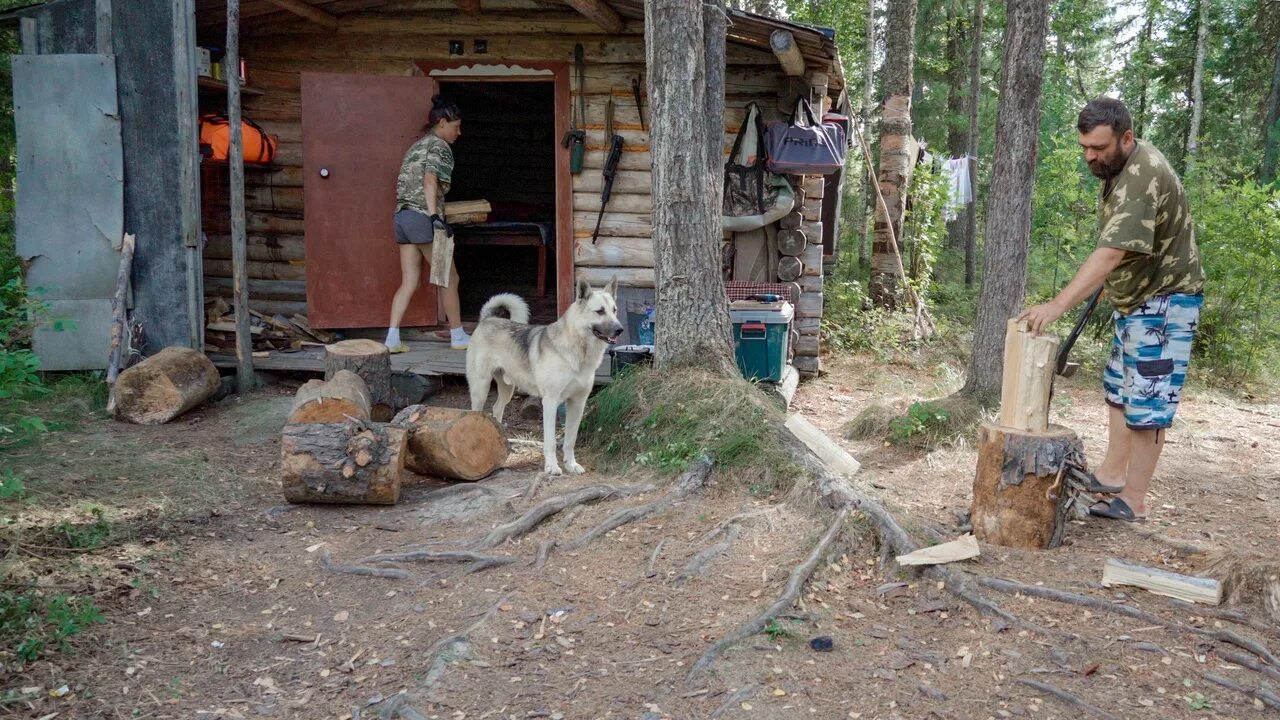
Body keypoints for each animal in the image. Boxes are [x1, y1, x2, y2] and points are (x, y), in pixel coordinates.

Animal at [465, 278, 624, 474]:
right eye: (600, 311)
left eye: (614, 310)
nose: (620, 329)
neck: (577, 352)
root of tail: (488, 319)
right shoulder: (550, 402)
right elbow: (550, 442)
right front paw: (552, 467)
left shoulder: (578, 403)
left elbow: (570, 440)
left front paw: (571, 465)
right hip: (481, 388)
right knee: (476, 412)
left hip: (507, 389)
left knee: (496, 409)